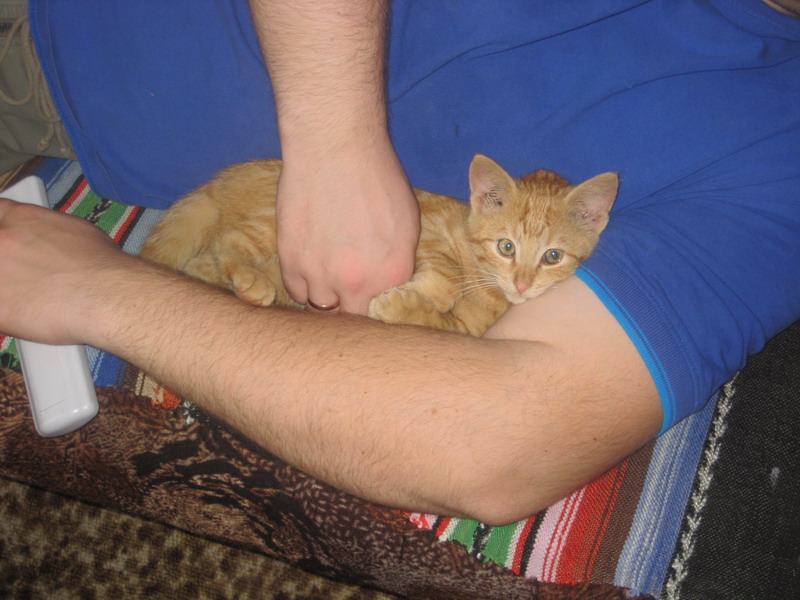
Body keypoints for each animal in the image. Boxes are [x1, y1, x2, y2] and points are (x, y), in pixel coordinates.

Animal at [140, 155, 618, 337]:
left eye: (552, 257)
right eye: (506, 247)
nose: (520, 284)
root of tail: (218, 183)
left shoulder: (464, 332)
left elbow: (438, 322)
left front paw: (401, 305)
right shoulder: (421, 229)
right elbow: (444, 281)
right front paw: (414, 294)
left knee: (203, 260)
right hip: (276, 224)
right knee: (231, 240)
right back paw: (250, 281)